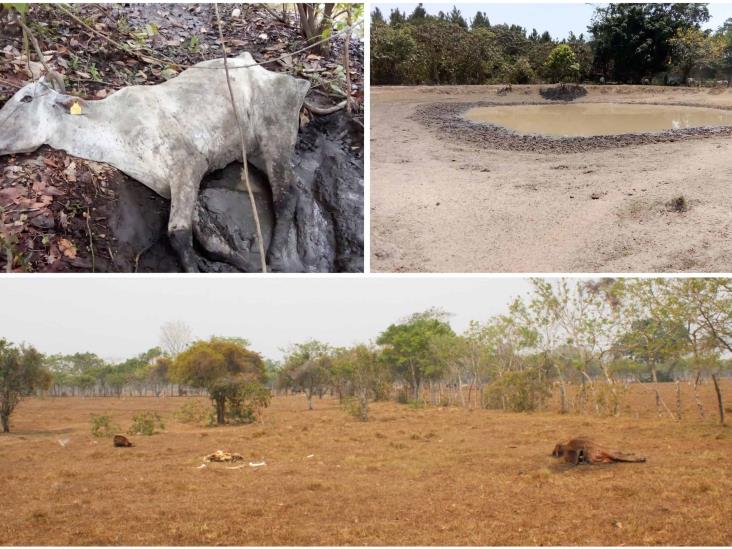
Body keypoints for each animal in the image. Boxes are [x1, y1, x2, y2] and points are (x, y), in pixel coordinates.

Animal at [0, 53, 312, 272]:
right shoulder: (170, 183)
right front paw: (242, 264)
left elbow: (178, 233)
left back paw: (276, 255)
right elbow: (208, 237)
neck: (113, 127)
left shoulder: (188, 162)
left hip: (275, 135)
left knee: (287, 194)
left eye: (26, 98)